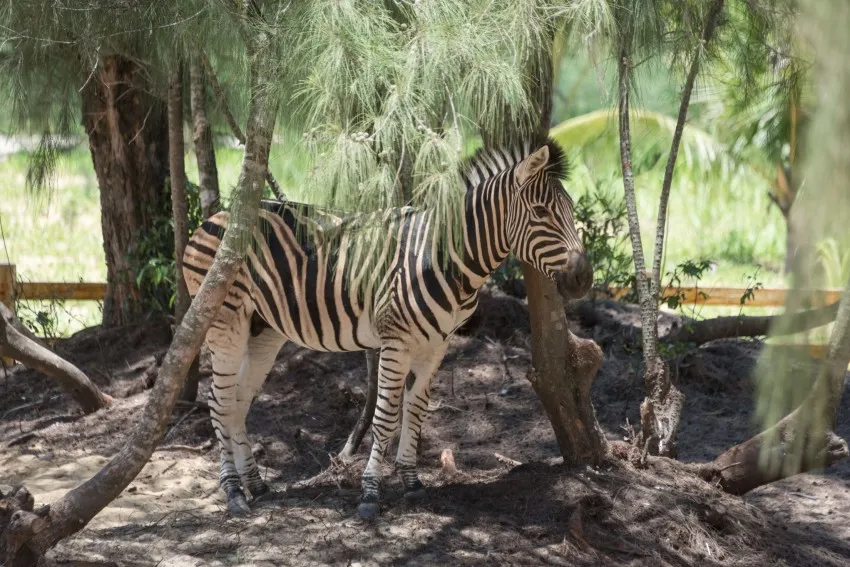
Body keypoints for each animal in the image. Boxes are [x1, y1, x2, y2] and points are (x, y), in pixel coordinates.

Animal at [181, 138, 588, 520]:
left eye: (571, 211)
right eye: (541, 213)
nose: (584, 279)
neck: (440, 256)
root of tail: (216, 218)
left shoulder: (437, 344)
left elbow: (416, 409)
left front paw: (411, 482)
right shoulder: (396, 342)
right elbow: (386, 417)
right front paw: (370, 494)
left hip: (263, 331)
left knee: (238, 402)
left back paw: (257, 485)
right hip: (225, 324)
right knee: (219, 403)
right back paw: (234, 493)